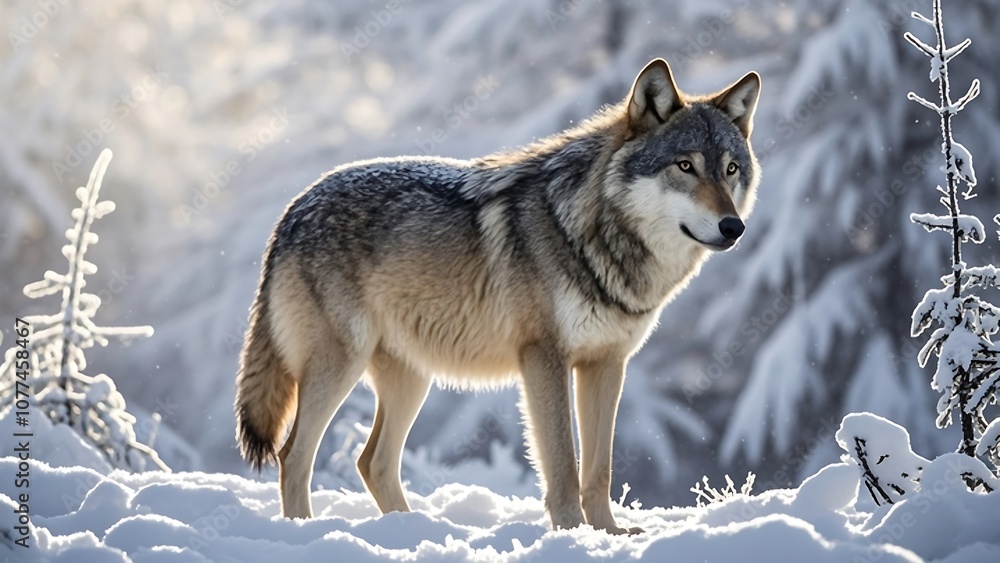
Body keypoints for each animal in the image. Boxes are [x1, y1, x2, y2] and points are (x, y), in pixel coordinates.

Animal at [235, 58, 761, 534]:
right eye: (685, 166)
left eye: (731, 169)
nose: (733, 227)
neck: (592, 234)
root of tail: (292, 210)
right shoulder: (544, 359)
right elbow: (564, 466)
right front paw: (572, 533)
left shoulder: (607, 364)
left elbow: (599, 469)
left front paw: (608, 534)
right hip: (341, 365)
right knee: (294, 455)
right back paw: (304, 532)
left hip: (412, 380)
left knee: (373, 463)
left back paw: (418, 531)